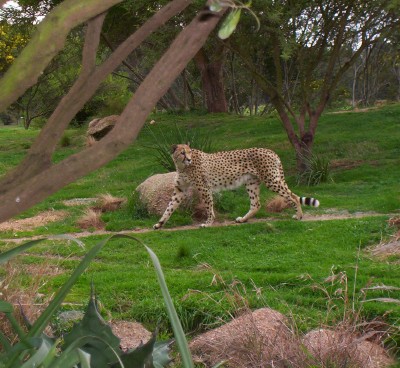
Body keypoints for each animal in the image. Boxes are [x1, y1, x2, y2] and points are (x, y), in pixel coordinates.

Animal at [153, 143, 318, 227]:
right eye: (182, 152)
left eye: (189, 152)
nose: (188, 159)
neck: (182, 166)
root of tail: (271, 151)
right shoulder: (180, 189)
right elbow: (170, 207)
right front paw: (160, 223)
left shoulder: (204, 188)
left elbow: (208, 207)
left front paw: (208, 222)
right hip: (251, 182)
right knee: (256, 204)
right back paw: (243, 219)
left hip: (271, 180)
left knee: (293, 196)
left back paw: (299, 215)